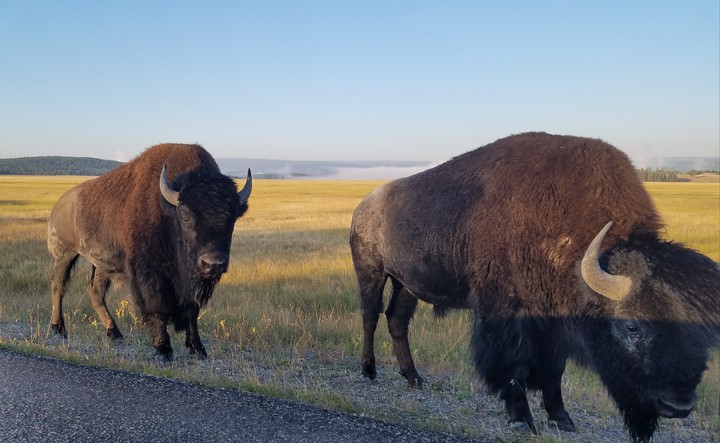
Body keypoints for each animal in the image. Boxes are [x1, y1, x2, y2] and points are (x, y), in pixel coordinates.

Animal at [47, 143, 251, 362]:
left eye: (232, 218)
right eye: (185, 216)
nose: (213, 263)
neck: (168, 211)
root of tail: (59, 204)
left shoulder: (190, 281)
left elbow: (191, 311)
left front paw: (198, 349)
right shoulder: (150, 273)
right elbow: (157, 306)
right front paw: (163, 349)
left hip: (103, 264)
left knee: (95, 293)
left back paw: (114, 333)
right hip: (64, 254)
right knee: (58, 287)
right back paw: (59, 329)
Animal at [349, 132, 719, 441]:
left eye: (704, 333)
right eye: (632, 326)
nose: (678, 405)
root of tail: (363, 206)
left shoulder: (553, 322)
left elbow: (554, 371)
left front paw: (562, 418)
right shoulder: (506, 315)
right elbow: (514, 366)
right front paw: (521, 418)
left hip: (406, 285)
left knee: (397, 320)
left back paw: (414, 378)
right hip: (372, 272)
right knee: (370, 316)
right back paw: (369, 371)